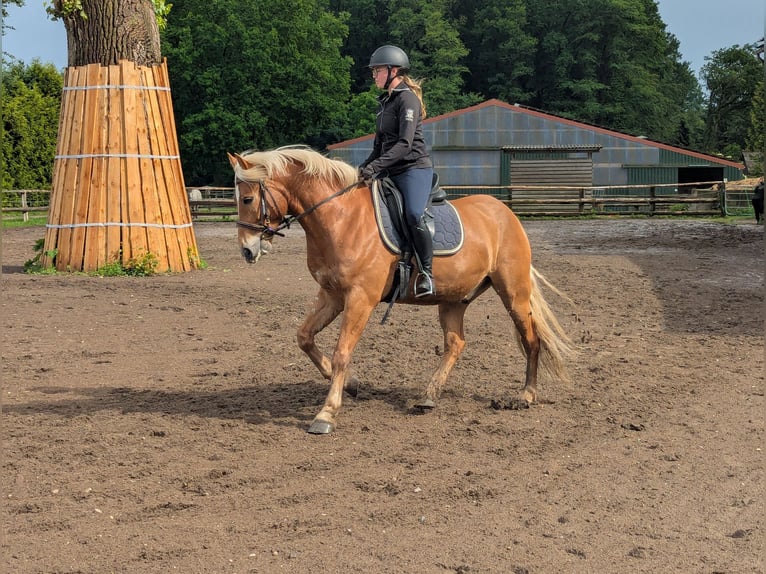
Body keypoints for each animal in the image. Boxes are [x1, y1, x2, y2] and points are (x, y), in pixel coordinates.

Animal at [228, 145, 574, 434]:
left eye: (247, 199)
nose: (246, 250)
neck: (340, 218)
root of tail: (505, 213)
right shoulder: (331, 295)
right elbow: (304, 337)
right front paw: (351, 384)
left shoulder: (360, 298)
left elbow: (342, 352)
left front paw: (326, 414)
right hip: (453, 299)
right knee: (456, 343)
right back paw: (429, 395)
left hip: (513, 293)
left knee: (531, 340)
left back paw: (525, 395)